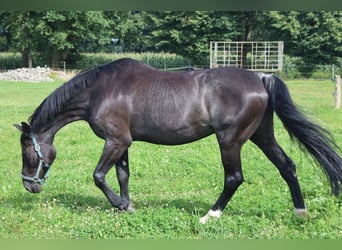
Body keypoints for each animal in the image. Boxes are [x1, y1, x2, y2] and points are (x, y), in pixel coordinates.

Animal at [14, 58, 340, 223]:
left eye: (27, 152)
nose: (29, 186)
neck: (101, 90)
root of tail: (261, 77)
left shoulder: (114, 142)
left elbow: (98, 176)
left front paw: (120, 204)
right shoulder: (122, 142)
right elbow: (121, 175)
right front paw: (126, 205)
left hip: (230, 141)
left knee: (234, 178)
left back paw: (211, 215)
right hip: (262, 135)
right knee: (288, 166)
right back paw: (300, 212)